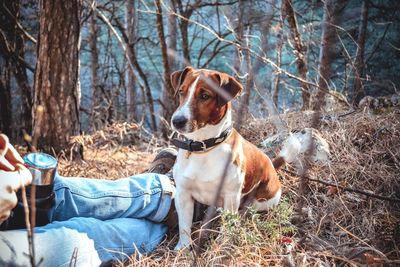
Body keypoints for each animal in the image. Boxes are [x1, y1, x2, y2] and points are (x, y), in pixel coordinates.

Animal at [170, 67, 298, 251]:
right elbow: (184, 226)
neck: (204, 148)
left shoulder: (231, 196)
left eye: (204, 96)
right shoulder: (183, 194)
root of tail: (273, 167)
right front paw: (183, 248)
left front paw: (222, 246)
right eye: (181, 91)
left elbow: (226, 227)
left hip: (261, 201)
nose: (177, 121)